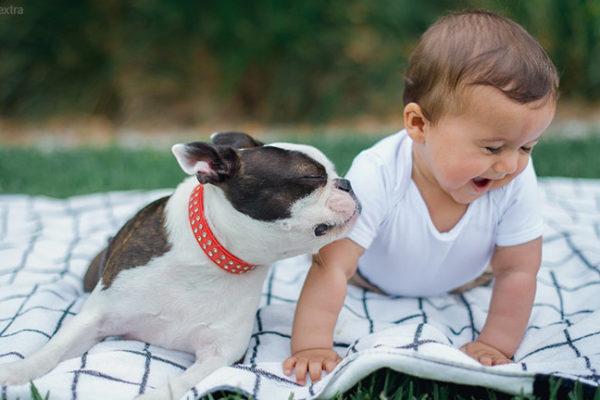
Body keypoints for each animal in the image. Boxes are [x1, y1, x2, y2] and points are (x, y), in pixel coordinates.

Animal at [0, 132, 358, 400]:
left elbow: (179, 383)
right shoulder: (97, 317)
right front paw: (17, 372)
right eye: (312, 176)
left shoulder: (222, 354)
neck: (212, 256)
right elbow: (54, 347)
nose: (348, 183)